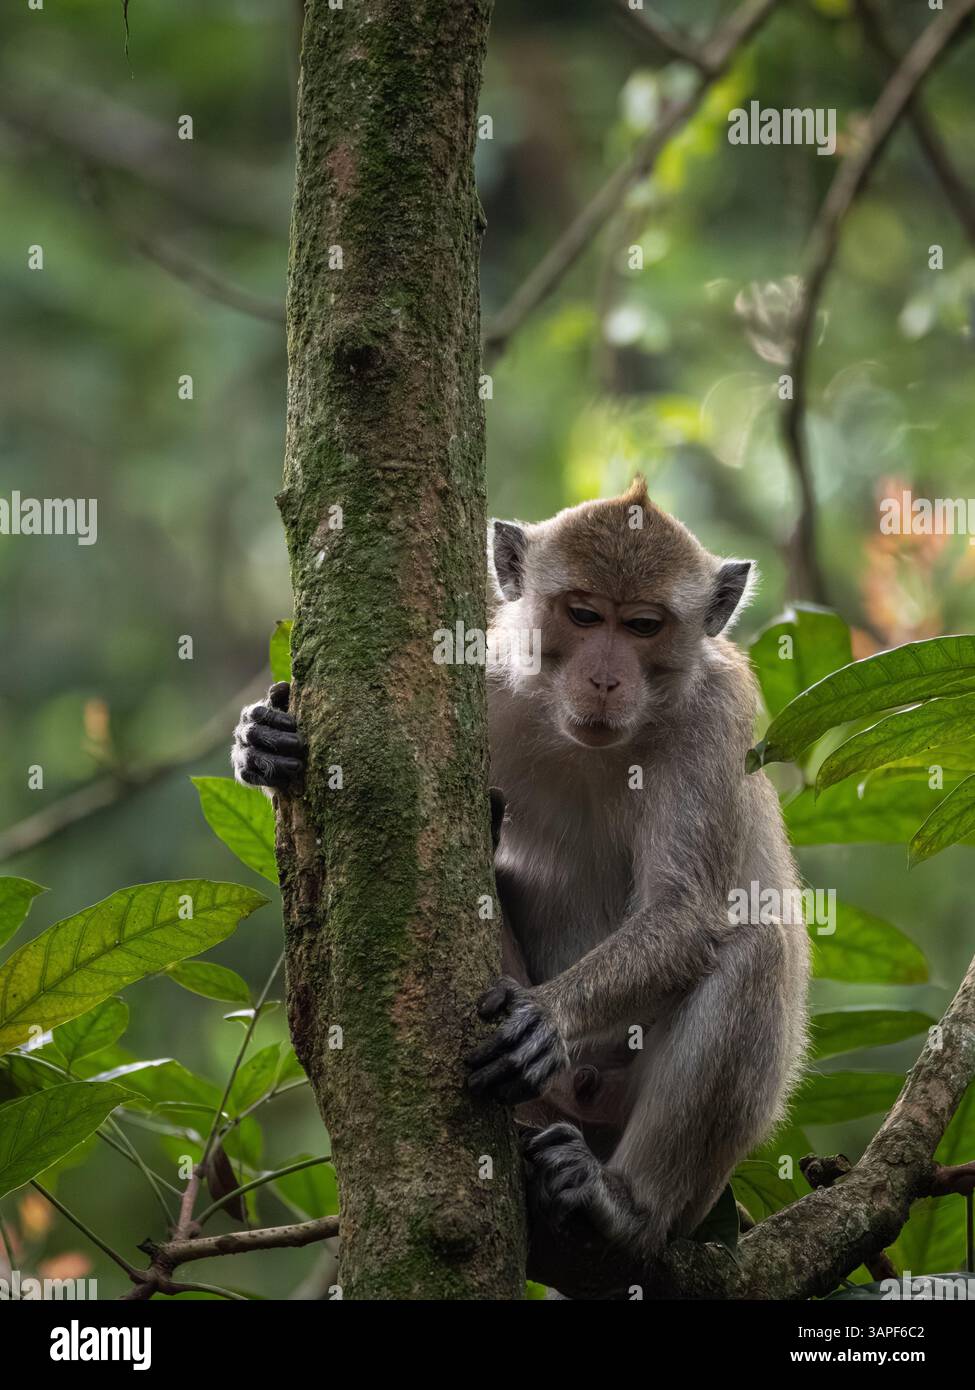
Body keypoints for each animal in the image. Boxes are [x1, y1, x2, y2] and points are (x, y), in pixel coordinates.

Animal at [232, 478, 809, 1290]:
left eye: (642, 625)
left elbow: (686, 909)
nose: (604, 677)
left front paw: (546, 1018)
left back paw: (621, 1207)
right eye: (583, 615)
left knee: (752, 950)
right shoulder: (483, 682)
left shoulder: (714, 717)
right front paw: (264, 740)